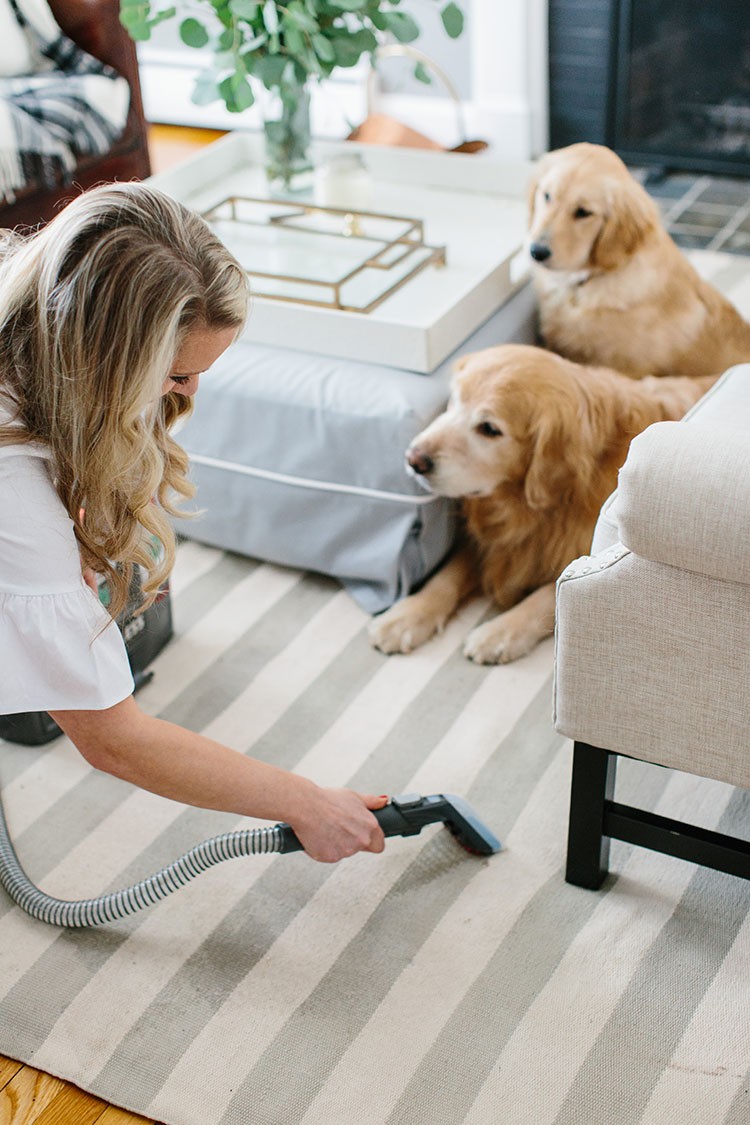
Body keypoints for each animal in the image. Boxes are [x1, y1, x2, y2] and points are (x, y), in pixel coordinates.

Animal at [368, 346, 715, 661]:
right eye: (453, 402)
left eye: (489, 429)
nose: (414, 459)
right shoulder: (496, 541)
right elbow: (448, 575)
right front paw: (406, 615)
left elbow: (550, 595)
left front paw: (499, 632)